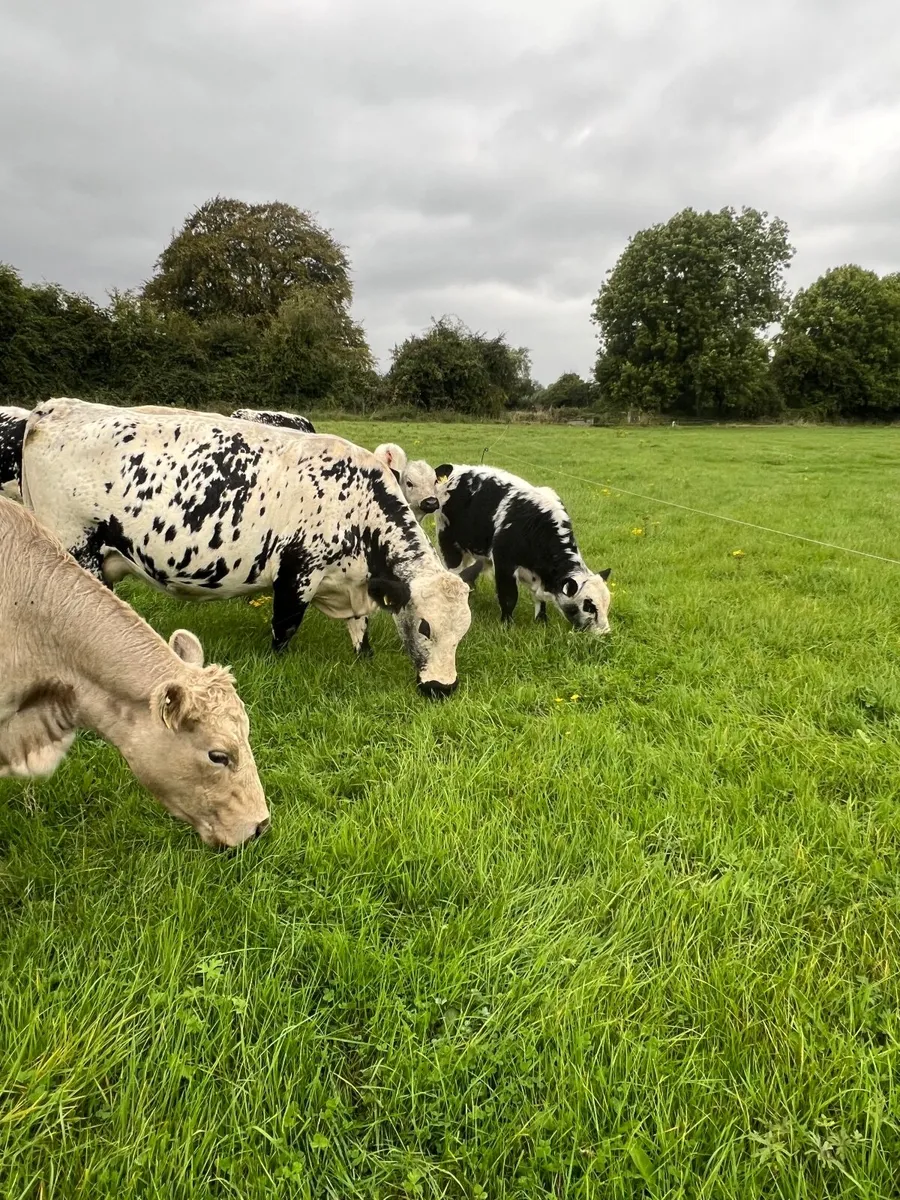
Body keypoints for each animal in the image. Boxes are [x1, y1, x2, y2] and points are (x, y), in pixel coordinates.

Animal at [22, 399, 471, 697]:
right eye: (425, 626)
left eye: (463, 632)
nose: (443, 688)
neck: (357, 502)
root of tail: (54, 408)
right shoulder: (298, 572)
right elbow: (284, 628)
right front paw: (278, 666)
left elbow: (360, 630)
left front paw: (365, 657)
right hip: (75, 551)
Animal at [433, 464, 612, 634]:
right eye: (588, 606)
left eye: (607, 605)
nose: (605, 633)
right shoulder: (504, 563)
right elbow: (509, 597)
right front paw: (507, 625)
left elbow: (539, 600)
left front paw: (542, 622)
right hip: (448, 545)